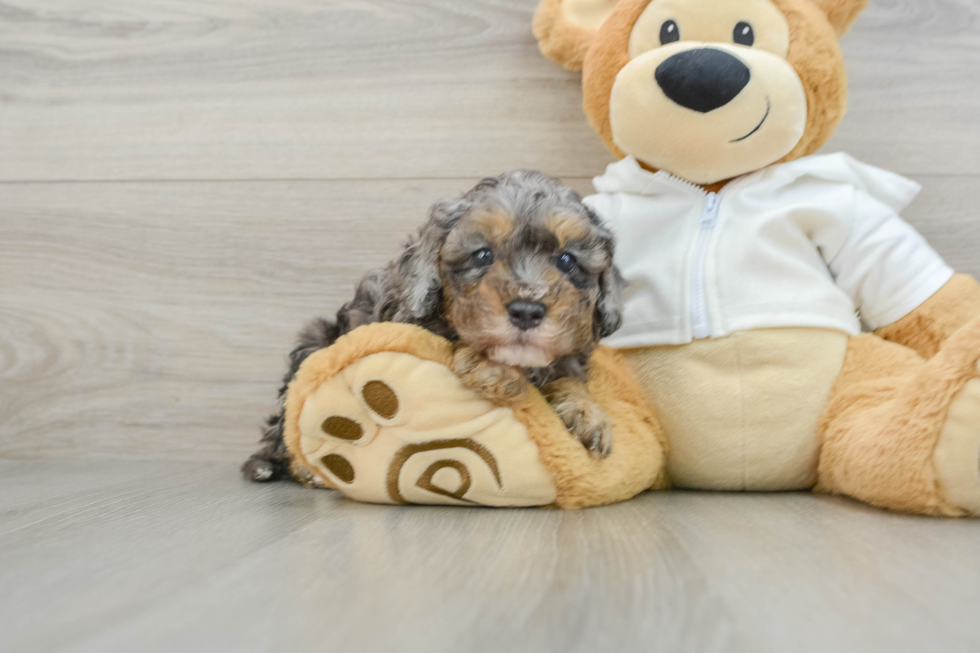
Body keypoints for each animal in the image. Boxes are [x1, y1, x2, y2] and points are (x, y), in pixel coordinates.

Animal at [245, 171, 628, 482]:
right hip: (313, 345)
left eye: (566, 260)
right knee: (289, 426)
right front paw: (491, 367)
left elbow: (568, 378)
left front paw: (588, 412)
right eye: (482, 255)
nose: (527, 311)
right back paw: (300, 468)